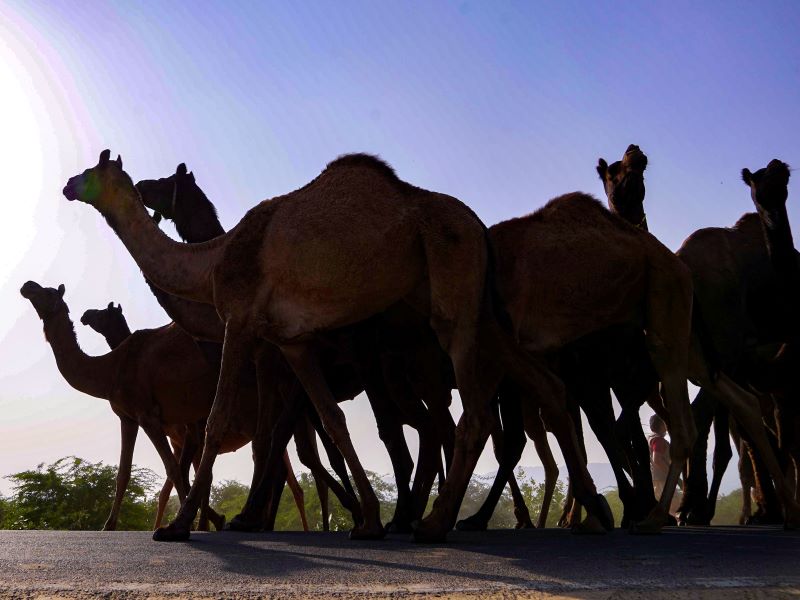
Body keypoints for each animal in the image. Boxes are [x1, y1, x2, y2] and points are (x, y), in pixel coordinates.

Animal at [80, 302, 311, 532]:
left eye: (103, 312)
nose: (85, 315)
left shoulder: (189, 434)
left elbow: (190, 476)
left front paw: (204, 523)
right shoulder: (179, 441)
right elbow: (178, 482)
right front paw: (206, 521)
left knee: (282, 473)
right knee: (282, 472)